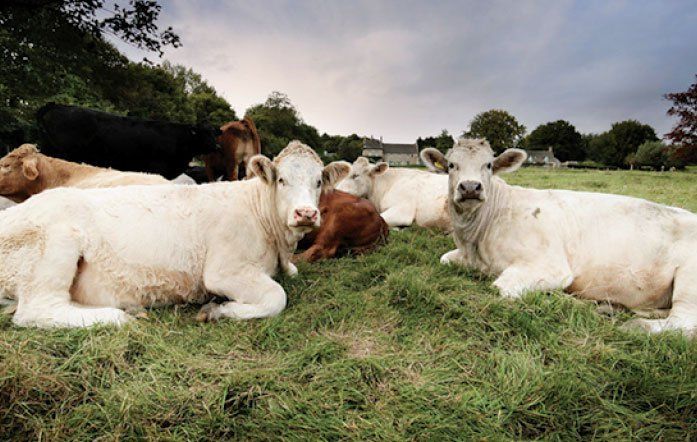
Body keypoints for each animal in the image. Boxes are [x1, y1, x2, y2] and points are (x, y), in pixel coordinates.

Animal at [421, 137, 697, 335]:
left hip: (689, 280)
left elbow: (501, 288)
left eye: (488, 165)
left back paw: (633, 324)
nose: (470, 187)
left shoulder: (549, 266)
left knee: (684, 322)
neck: (475, 241)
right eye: (451, 165)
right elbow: (444, 259)